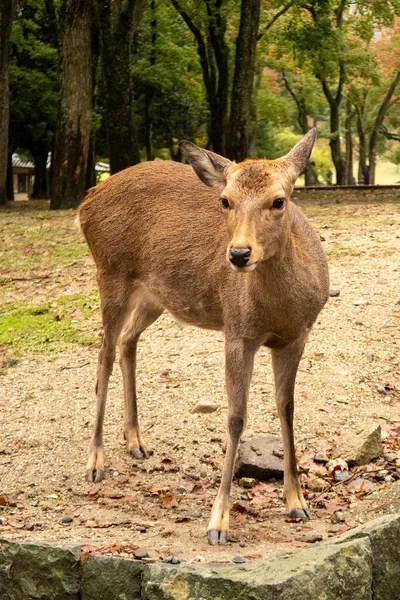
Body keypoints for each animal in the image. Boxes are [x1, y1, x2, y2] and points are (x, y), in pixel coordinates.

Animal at [76, 129, 330, 548]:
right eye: (225, 200)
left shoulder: (297, 336)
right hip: (110, 272)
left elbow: (287, 408)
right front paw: (218, 522)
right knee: (104, 355)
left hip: (154, 295)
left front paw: (297, 502)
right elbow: (236, 418)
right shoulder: (237, 331)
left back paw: (135, 442)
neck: (280, 309)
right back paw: (95, 461)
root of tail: (85, 202)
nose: (239, 254)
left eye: (279, 200)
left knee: (127, 341)